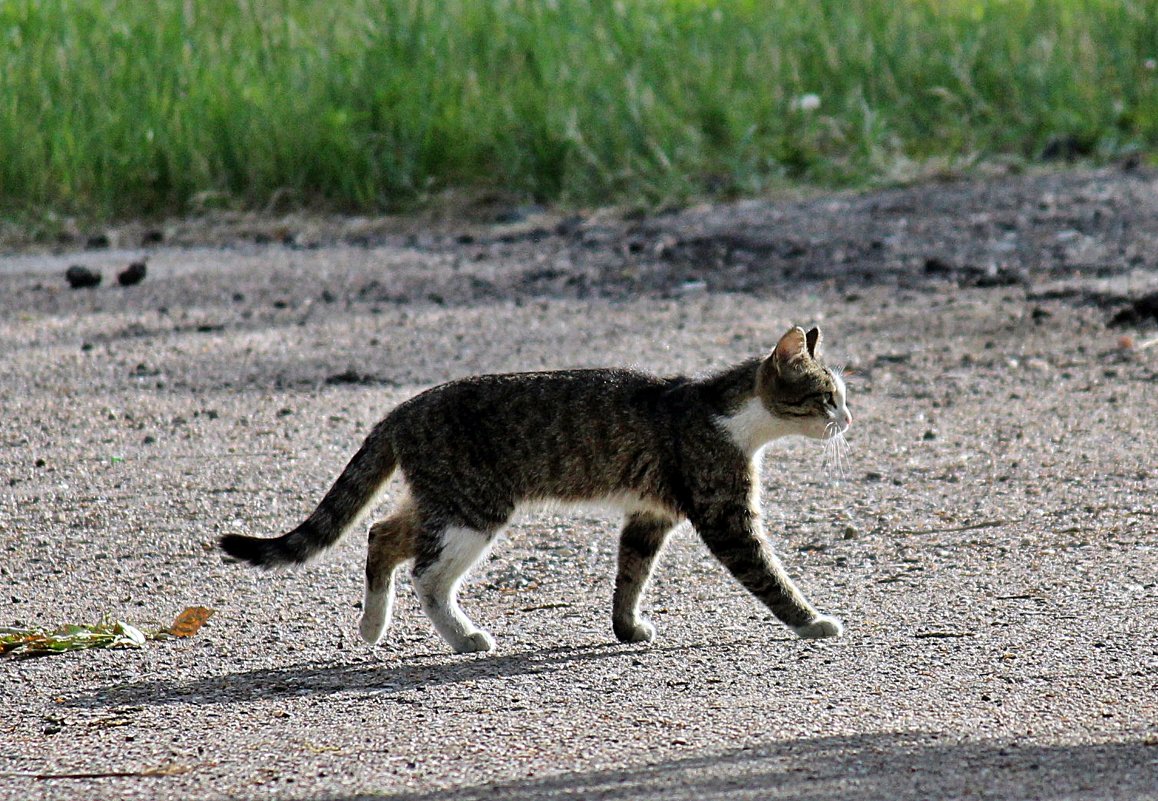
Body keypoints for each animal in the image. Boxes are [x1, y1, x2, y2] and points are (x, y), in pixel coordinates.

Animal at [218, 324, 852, 652]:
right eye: (827, 396)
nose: (847, 419)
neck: (727, 415)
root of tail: (402, 409)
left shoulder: (648, 515)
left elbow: (630, 576)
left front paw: (626, 628)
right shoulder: (725, 514)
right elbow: (769, 576)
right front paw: (812, 621)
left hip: (440, 501)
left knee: (381, 536)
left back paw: (373, 626)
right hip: (473, 508)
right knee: (424, 572)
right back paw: (463, 636)